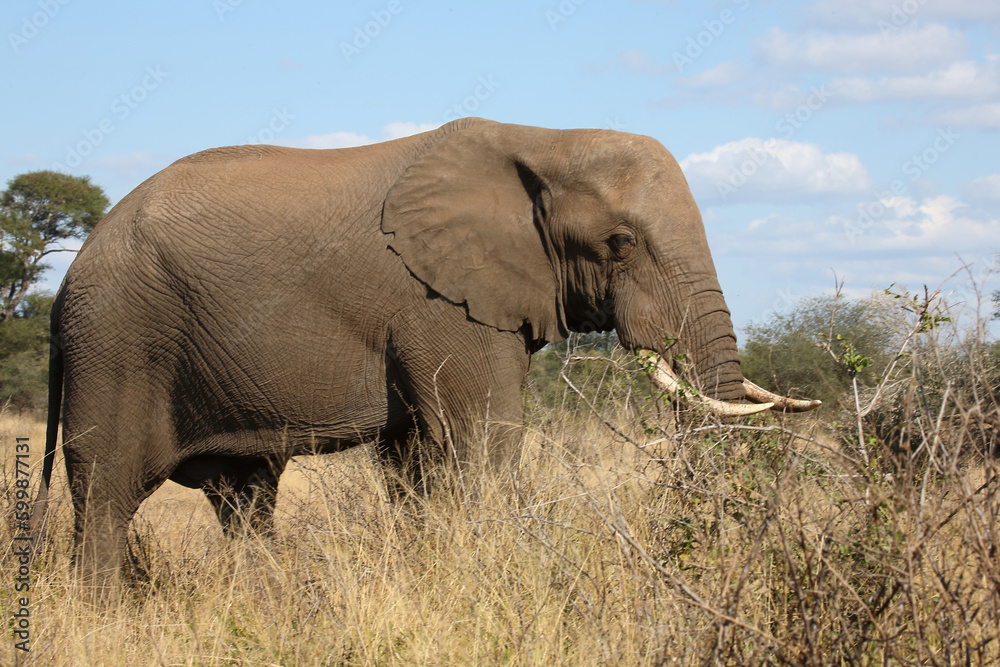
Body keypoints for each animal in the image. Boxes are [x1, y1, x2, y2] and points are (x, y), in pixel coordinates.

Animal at [29, 117, 817, 585]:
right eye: (621, 242)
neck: (544, 138)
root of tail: (69, 274)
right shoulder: (436, 301)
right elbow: (484, 441)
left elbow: (414, 461)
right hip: (117, 339)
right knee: (107, 494)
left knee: (245, 494)